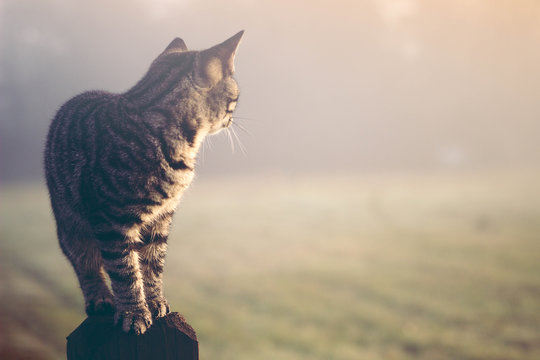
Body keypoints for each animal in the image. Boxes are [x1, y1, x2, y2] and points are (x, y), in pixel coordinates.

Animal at [45, 31, 246, 334]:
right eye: (235, 97)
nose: (233, 119)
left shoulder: (161, 219)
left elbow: (152, 264)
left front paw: (154, 301)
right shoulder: (111, 223)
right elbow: (125, 272)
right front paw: (134, 312)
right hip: (71, 225)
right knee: (87, 264)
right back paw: (100, 298)